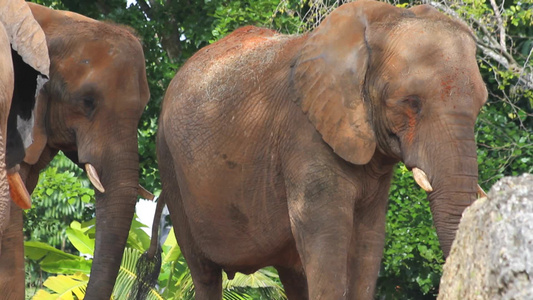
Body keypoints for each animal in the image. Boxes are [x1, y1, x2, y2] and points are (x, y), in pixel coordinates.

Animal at [144, 1, 486, 298]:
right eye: (411, 103)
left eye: (481, 105)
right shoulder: (304, 133)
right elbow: (324, 231)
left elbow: (369, 237)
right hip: (170, 163)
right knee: (204, 273)